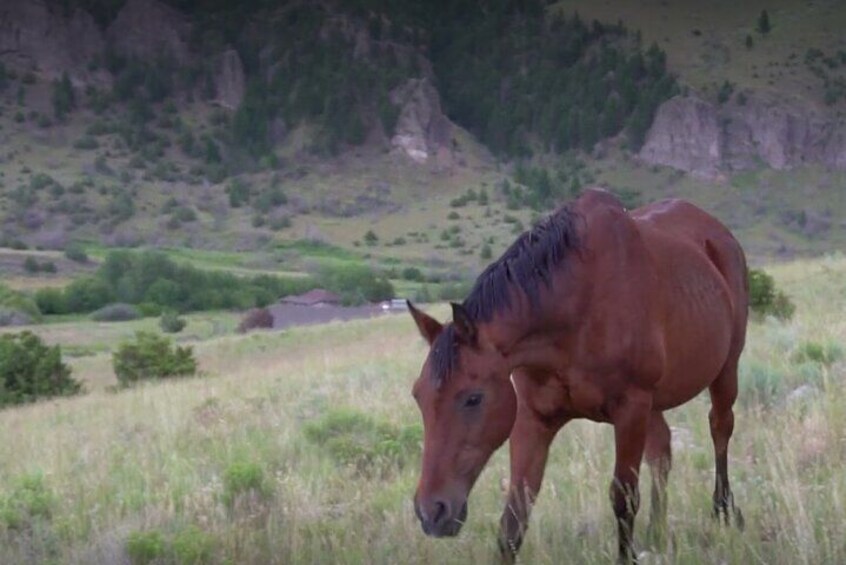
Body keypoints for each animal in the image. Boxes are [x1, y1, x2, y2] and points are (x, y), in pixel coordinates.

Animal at [410, 188, 748, 560]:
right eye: (418, 396)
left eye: (473, 398)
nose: (431, 512)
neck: (576, 307)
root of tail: (720, 233)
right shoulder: (533, 419)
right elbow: (514, 517)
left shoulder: (631, 409)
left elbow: (624, 499)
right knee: (661, 453)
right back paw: (657, 532)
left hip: (725, 370)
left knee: (720, 428)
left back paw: (722, 510)